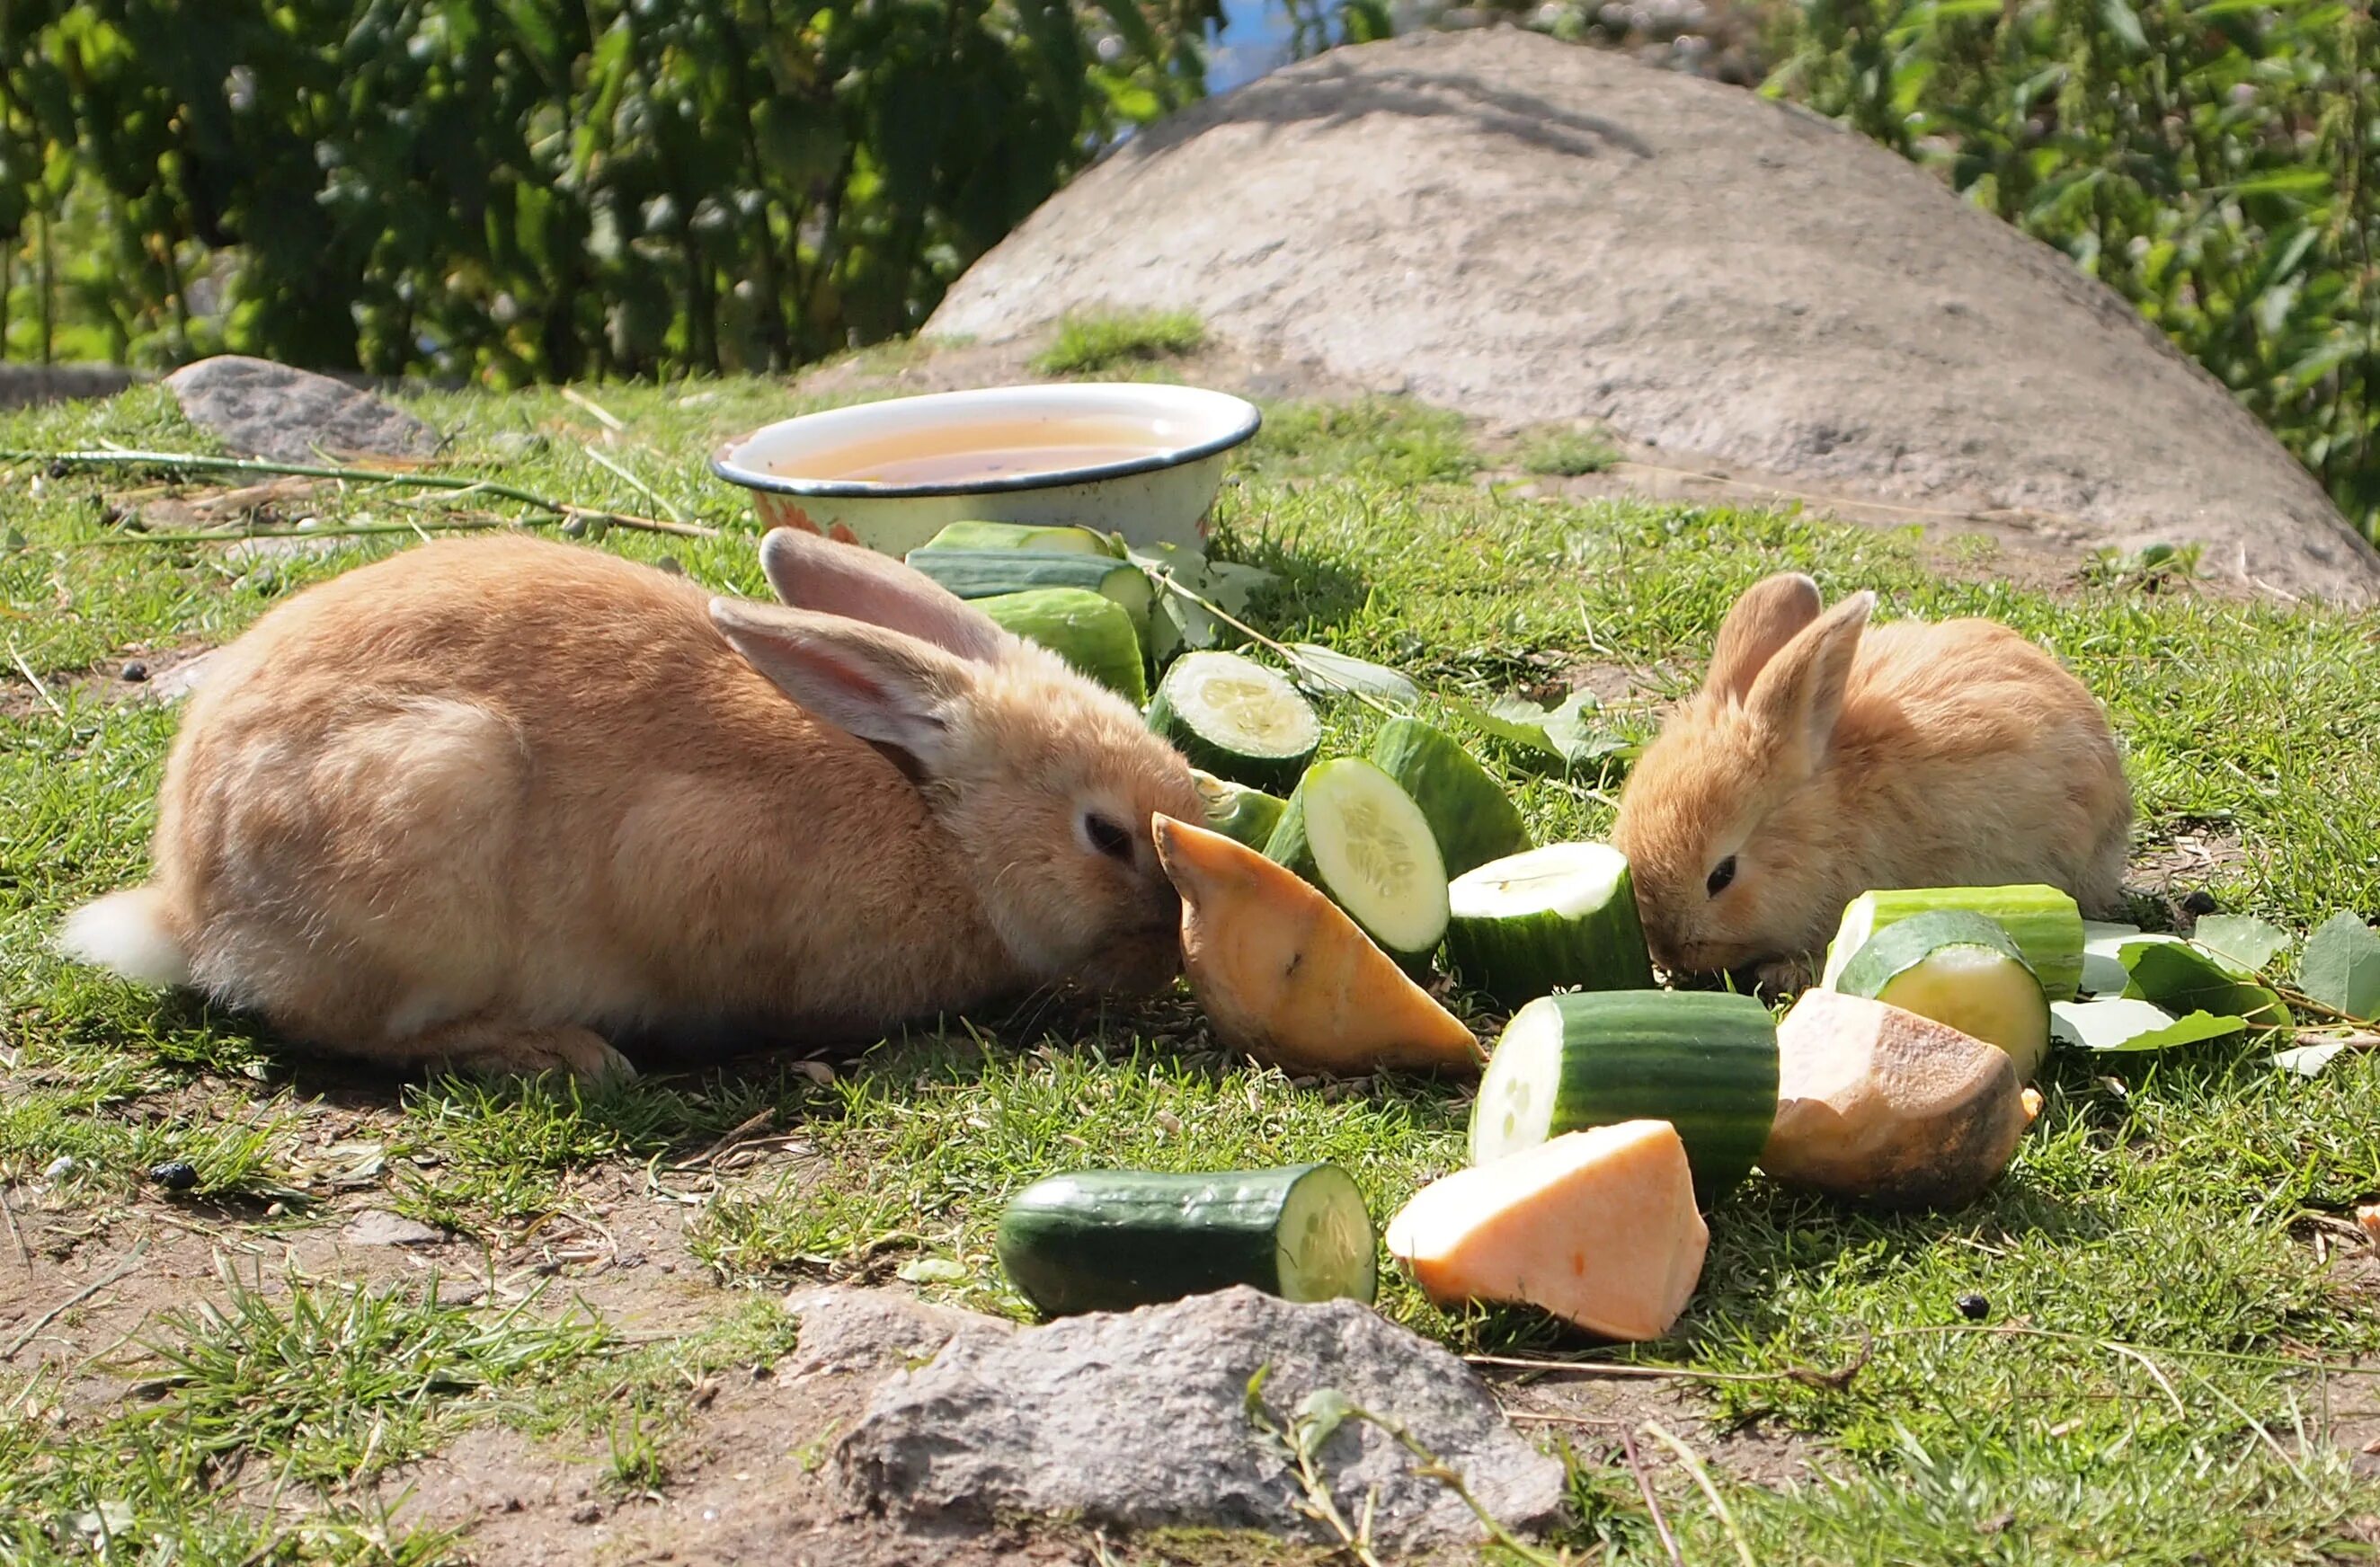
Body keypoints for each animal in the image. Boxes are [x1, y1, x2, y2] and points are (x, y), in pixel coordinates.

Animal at [50, 527, 1209, 1079]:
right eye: (1105, 836)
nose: (1168, 949)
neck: (940, 825)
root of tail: (188, 910)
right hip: (431, 807)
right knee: (347, 1027)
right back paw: (556, 1053)